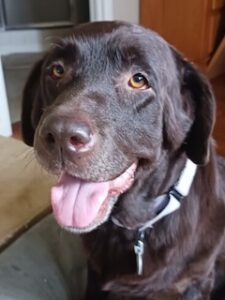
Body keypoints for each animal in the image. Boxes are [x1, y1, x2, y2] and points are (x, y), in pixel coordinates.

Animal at [21, 21, 225, 300]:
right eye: (57, 70)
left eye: (138, 80)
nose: (61, 134)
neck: (132, 228)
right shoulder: (94, 276)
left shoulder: (196, 281)